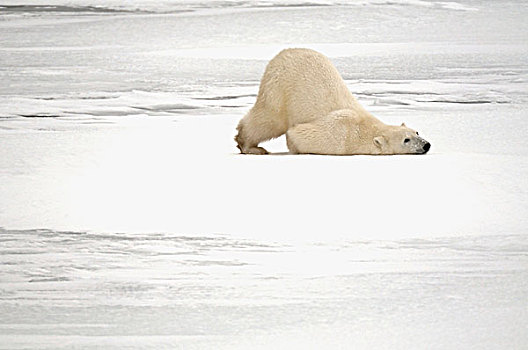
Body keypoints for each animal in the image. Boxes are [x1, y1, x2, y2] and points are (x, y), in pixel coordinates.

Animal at [234, 48, 428, 155]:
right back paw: (250, 146)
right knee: (268, 120)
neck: (365, 128)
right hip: (280, 88)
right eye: (406, 140)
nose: (427, 145)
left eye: (416, 132)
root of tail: (283, 53)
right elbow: (297, 133)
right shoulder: (341, 135)